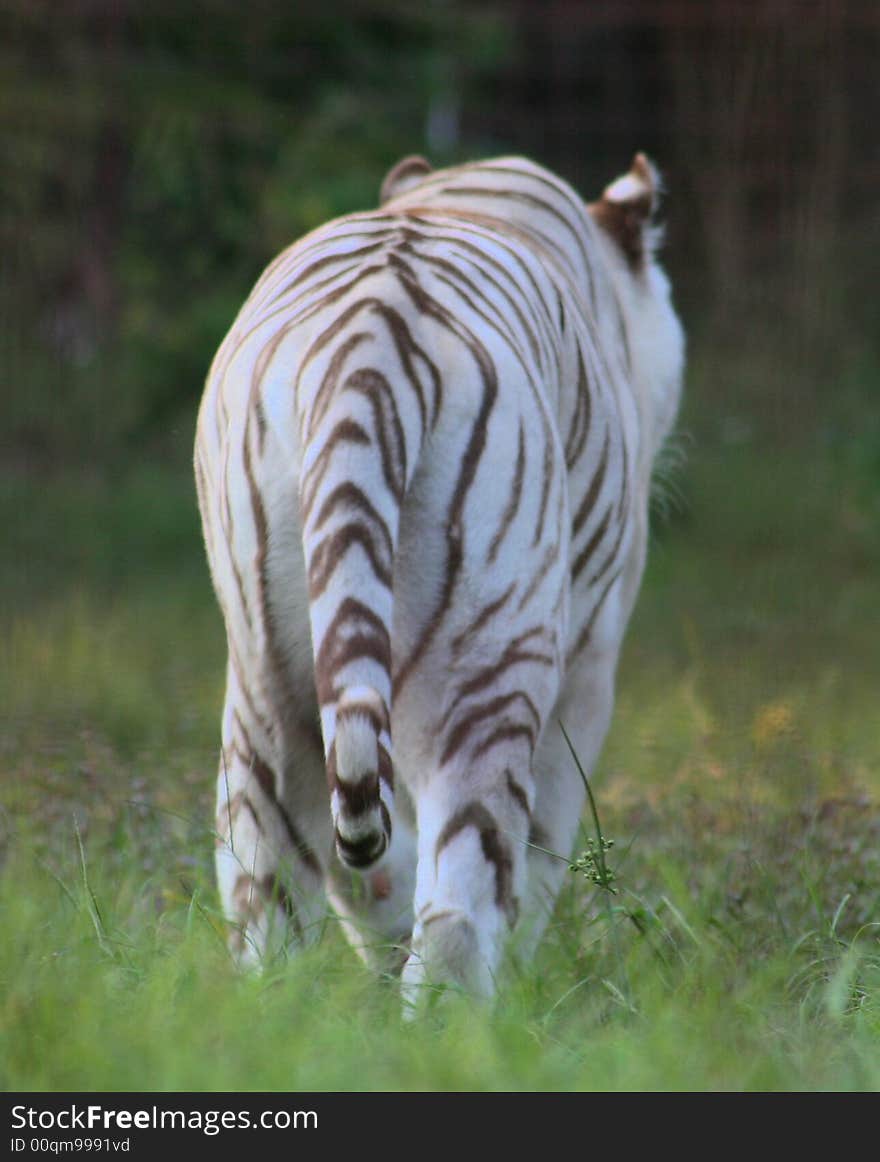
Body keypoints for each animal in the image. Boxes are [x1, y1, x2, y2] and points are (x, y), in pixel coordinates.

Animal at [194, 149, 688, 1003]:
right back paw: (466, 1021)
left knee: (274, 884)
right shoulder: (589, 668)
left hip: (265, 681)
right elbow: (546, 846)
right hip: (488, 669)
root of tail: (369, 342)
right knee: (464, 897)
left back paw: (275, 1013)